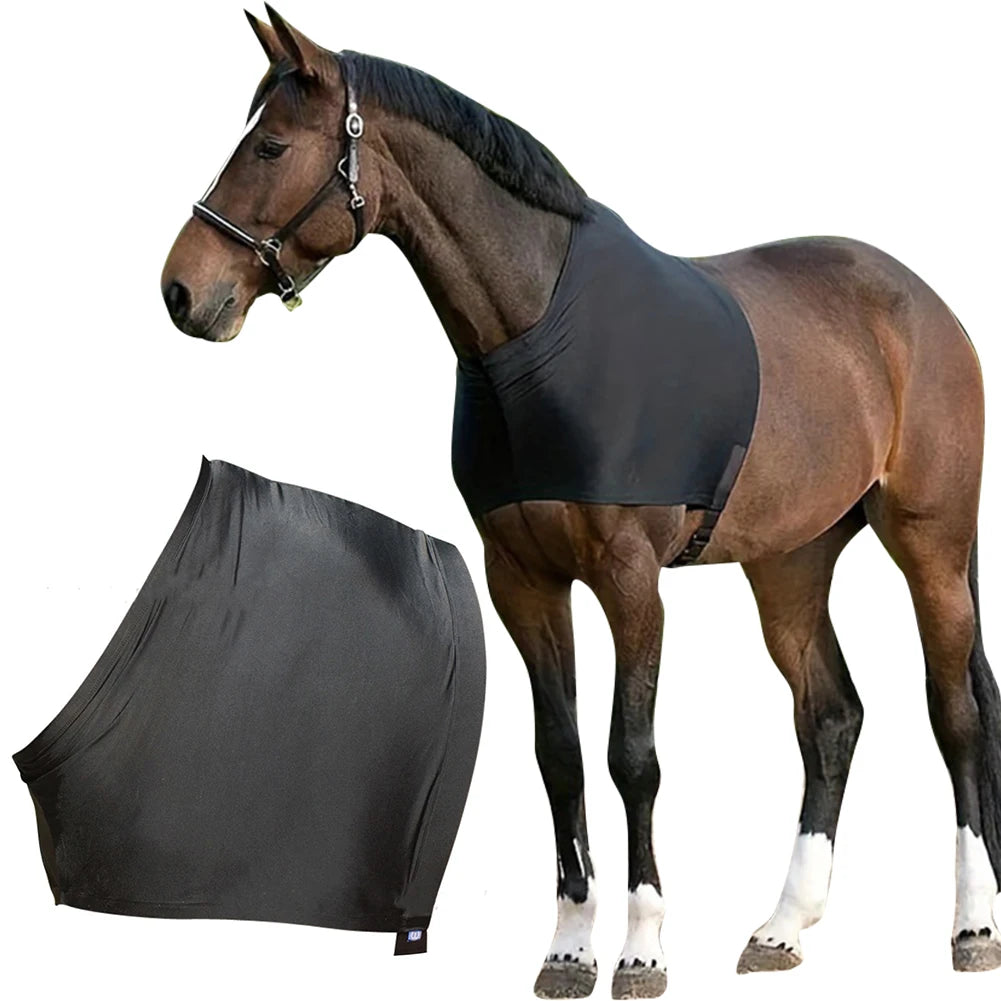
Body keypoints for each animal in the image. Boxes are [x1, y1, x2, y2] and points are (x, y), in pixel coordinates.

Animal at [161, 8, 1001, 997]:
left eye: (271, 145)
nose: (182, 290)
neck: (536, 333)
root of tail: (927, 306)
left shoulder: (631, 583)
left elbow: (630, 757)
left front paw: (641, 948)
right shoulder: (523, 581)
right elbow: (558, 756)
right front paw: (567, 947)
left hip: (931, 547)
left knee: (955, 716)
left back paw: (971, 925)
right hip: (789, 564)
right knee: (831, 718)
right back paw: (783, 925)